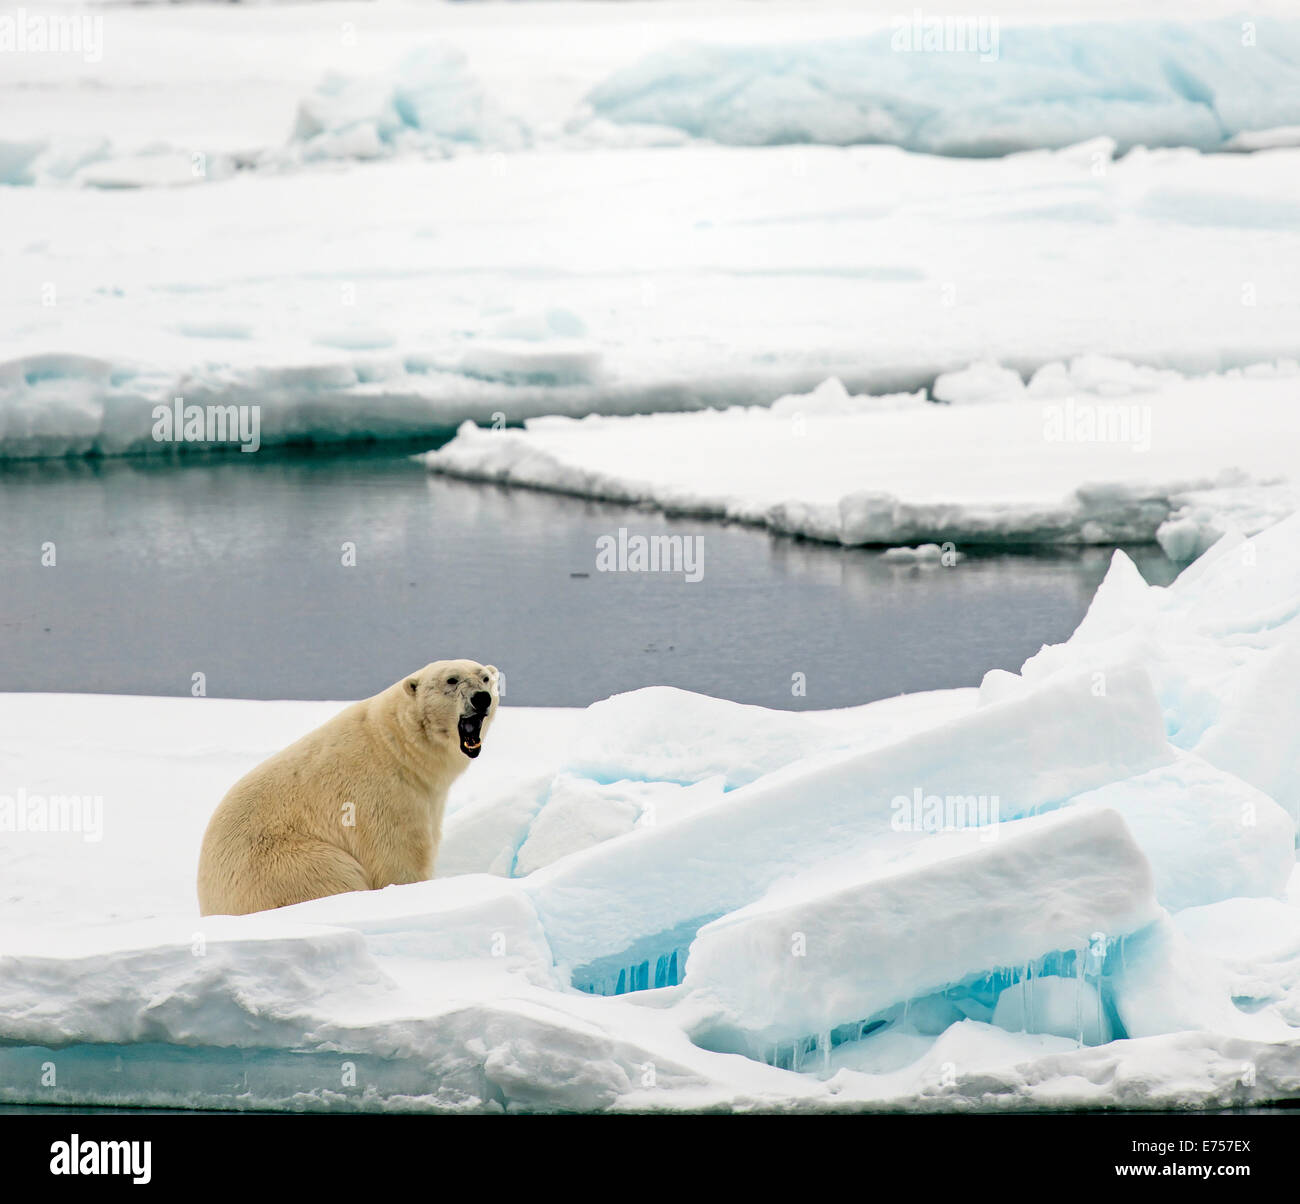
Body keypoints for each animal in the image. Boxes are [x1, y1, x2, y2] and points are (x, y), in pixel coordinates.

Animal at [195, 660, 499, 915]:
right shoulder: (382, 798)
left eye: (485, 677)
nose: (481, 697)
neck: (397, 746)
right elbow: (398, 860)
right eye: (451, 679)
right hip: (287, 866)